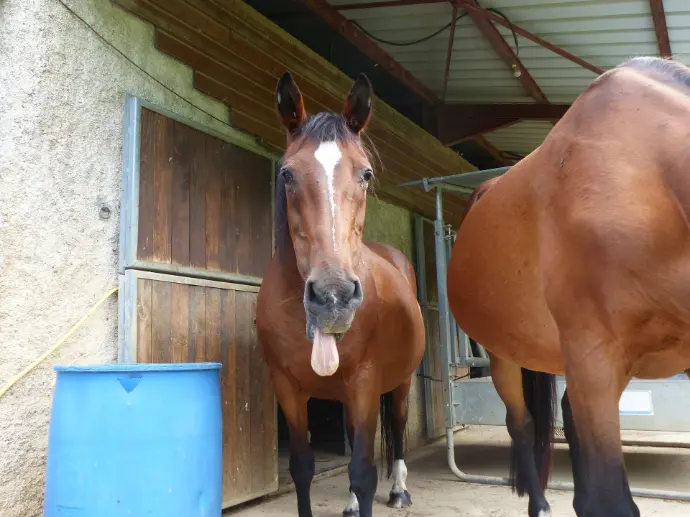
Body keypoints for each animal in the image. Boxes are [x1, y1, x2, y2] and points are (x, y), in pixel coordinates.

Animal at [256, 71, 426, 517]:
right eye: (287, 174)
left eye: (365, 174)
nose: (333, 297)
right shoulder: (287, 387)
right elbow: (302, 467)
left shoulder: (365, 382)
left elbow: (364, 473)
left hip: (398, 384)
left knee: (398, 428)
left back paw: (399, 491)